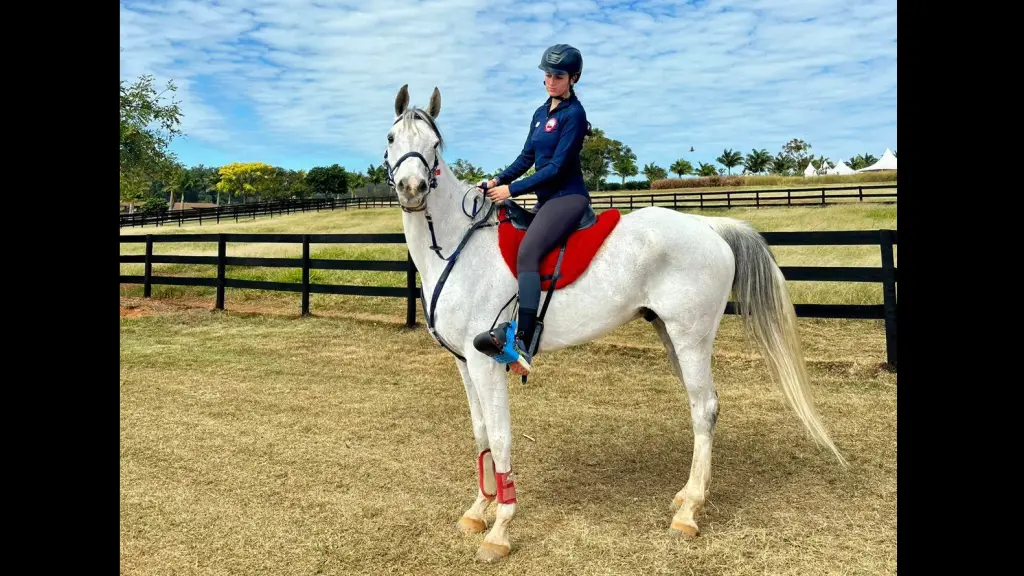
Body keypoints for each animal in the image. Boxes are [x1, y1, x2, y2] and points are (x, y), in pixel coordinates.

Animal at [383, 84, 847, 563]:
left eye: (435, 146)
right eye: (392, 138)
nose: (413, 187)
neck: (460, 246)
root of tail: (710, 227)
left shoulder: (485, 364)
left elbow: (501, 434)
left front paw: (500, 529)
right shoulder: (463, 363)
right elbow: (481, 436)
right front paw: (478, 510)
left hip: (691, 336)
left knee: (705, 407)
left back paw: (689, 512)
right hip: (670, 334)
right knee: (700, 406)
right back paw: (687, 495)